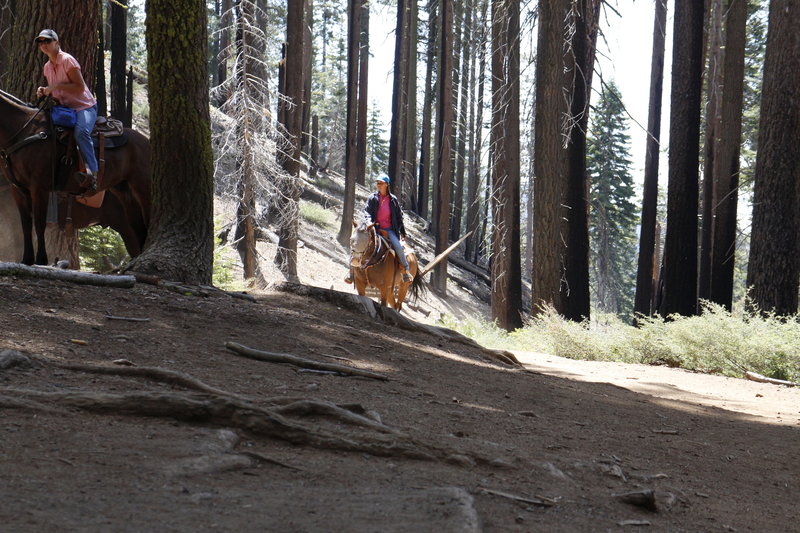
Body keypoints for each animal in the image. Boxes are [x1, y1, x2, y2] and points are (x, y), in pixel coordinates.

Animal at [0, 91, 151, 266]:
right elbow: (25, 225)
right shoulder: (19, 190)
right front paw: (27, 260)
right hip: (125, 194)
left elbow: (38, 223)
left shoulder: (39, 187)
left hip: (142, 189)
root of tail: (146, 141)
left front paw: (41, 260)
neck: (24, 132)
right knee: (138, 227)